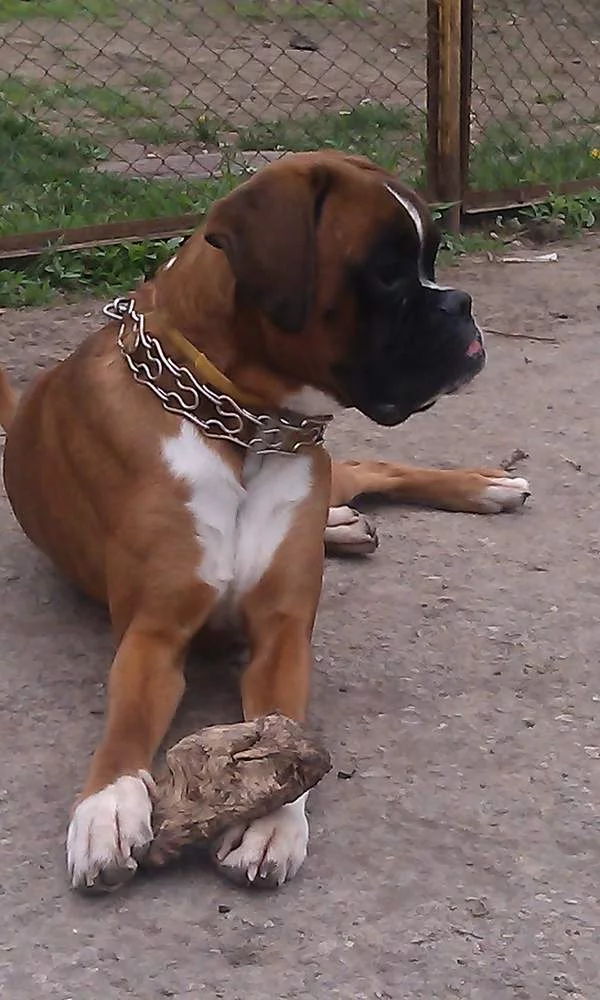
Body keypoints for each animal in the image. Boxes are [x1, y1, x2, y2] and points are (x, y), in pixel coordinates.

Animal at [0, 151, 529, 893]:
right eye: (386, 271)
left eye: (430, 257)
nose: (460, 303)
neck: (242, 426)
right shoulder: (154, 634)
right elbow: (127, 721)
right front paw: (107, 805)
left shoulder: (282, 633)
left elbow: (282, 722)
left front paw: (269, 822)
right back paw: (347, 523)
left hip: (331, 469)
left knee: (370, 466)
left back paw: (484, 486)